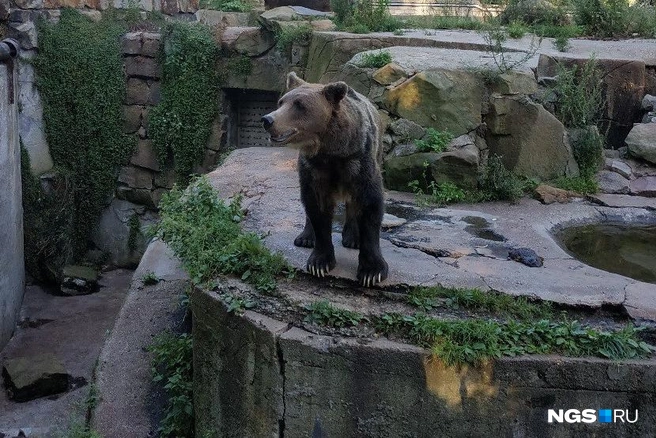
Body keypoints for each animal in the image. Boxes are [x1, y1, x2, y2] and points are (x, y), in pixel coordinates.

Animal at [260, 71, 386, 288]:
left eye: (299, 105)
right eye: (281, 101)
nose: (268, 120)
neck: (330, 149)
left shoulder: (359, 160)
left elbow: (370, 204)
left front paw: (372, 271)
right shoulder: (314, 169)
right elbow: (317, 208)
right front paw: (320, 262)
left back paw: (352, 237)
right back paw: (305, 237)